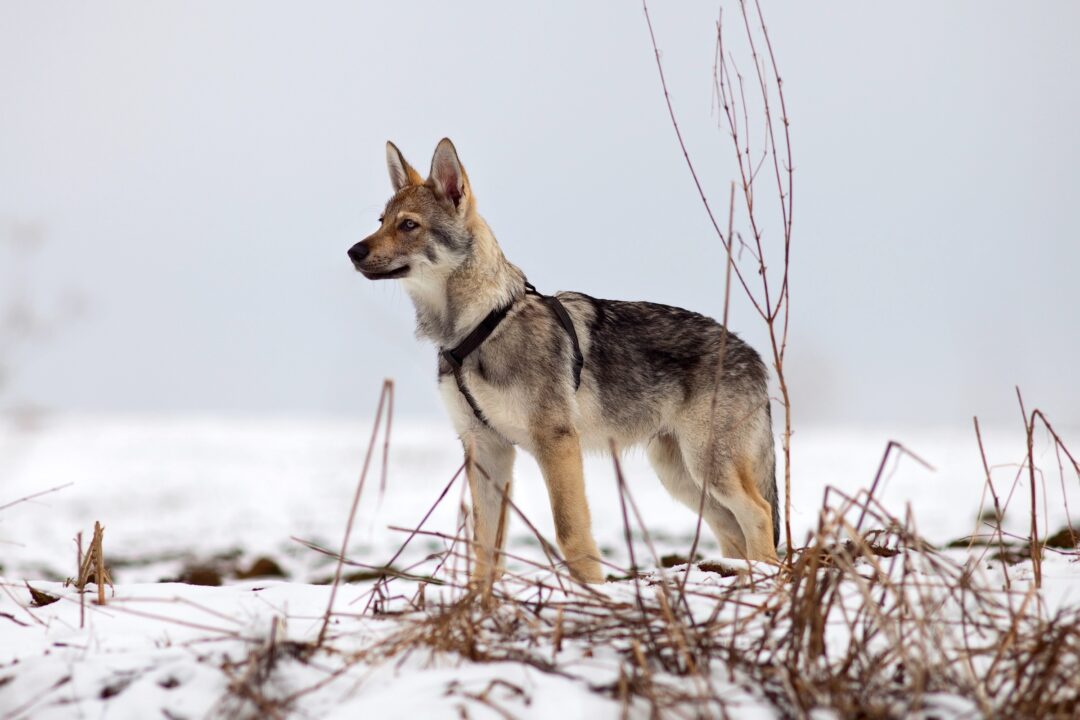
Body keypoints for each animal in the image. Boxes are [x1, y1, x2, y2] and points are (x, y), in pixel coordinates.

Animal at [348, 139, 779, 584]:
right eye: (381, 221)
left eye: (408, 225)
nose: (353, 251)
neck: (476, 330)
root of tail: (754, 354)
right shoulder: (485, 447)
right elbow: (484, 546)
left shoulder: (556, 443)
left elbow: (570, 533)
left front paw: (593, 590)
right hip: (683, 478)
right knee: (732, 530)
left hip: (709, 469)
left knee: (760, 514)